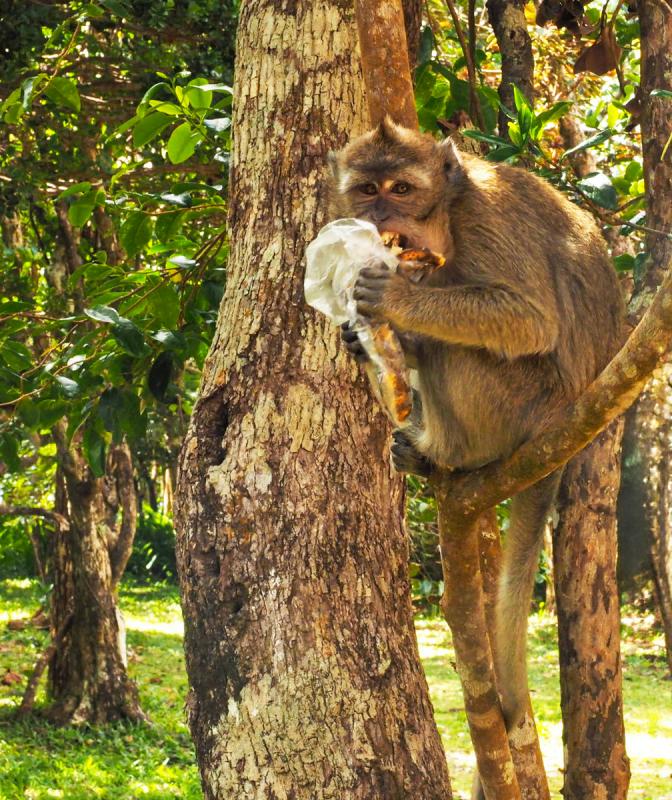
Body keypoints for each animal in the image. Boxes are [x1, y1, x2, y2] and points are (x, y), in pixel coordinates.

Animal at [327, 117, 624, 781]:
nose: (379, 212)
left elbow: (530, 319)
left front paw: (394, 303)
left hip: (520, 405)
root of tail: (564, 431)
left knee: (459, 346)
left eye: (401, 188)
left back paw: (445, 451)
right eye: (366, 190)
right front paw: (369, 337)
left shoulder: (484, 219)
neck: (447, 211)